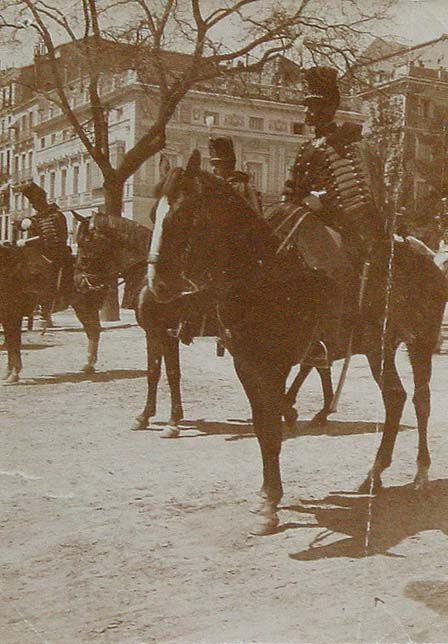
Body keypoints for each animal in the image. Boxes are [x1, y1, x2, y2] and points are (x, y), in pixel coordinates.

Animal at [148, 151, 448, 532]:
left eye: (183, 215)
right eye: (151, 214)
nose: (157, 286)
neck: (263, 270)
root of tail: (430, 262)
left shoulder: (275, 367)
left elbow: (272, 428)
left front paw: (270, 504)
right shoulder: (247, 365)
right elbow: (261, 426)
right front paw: (267, 495)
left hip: (419, 341)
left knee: (421, 401)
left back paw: (421, 474)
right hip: (378, 348)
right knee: (395, 398)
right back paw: (373, 475)